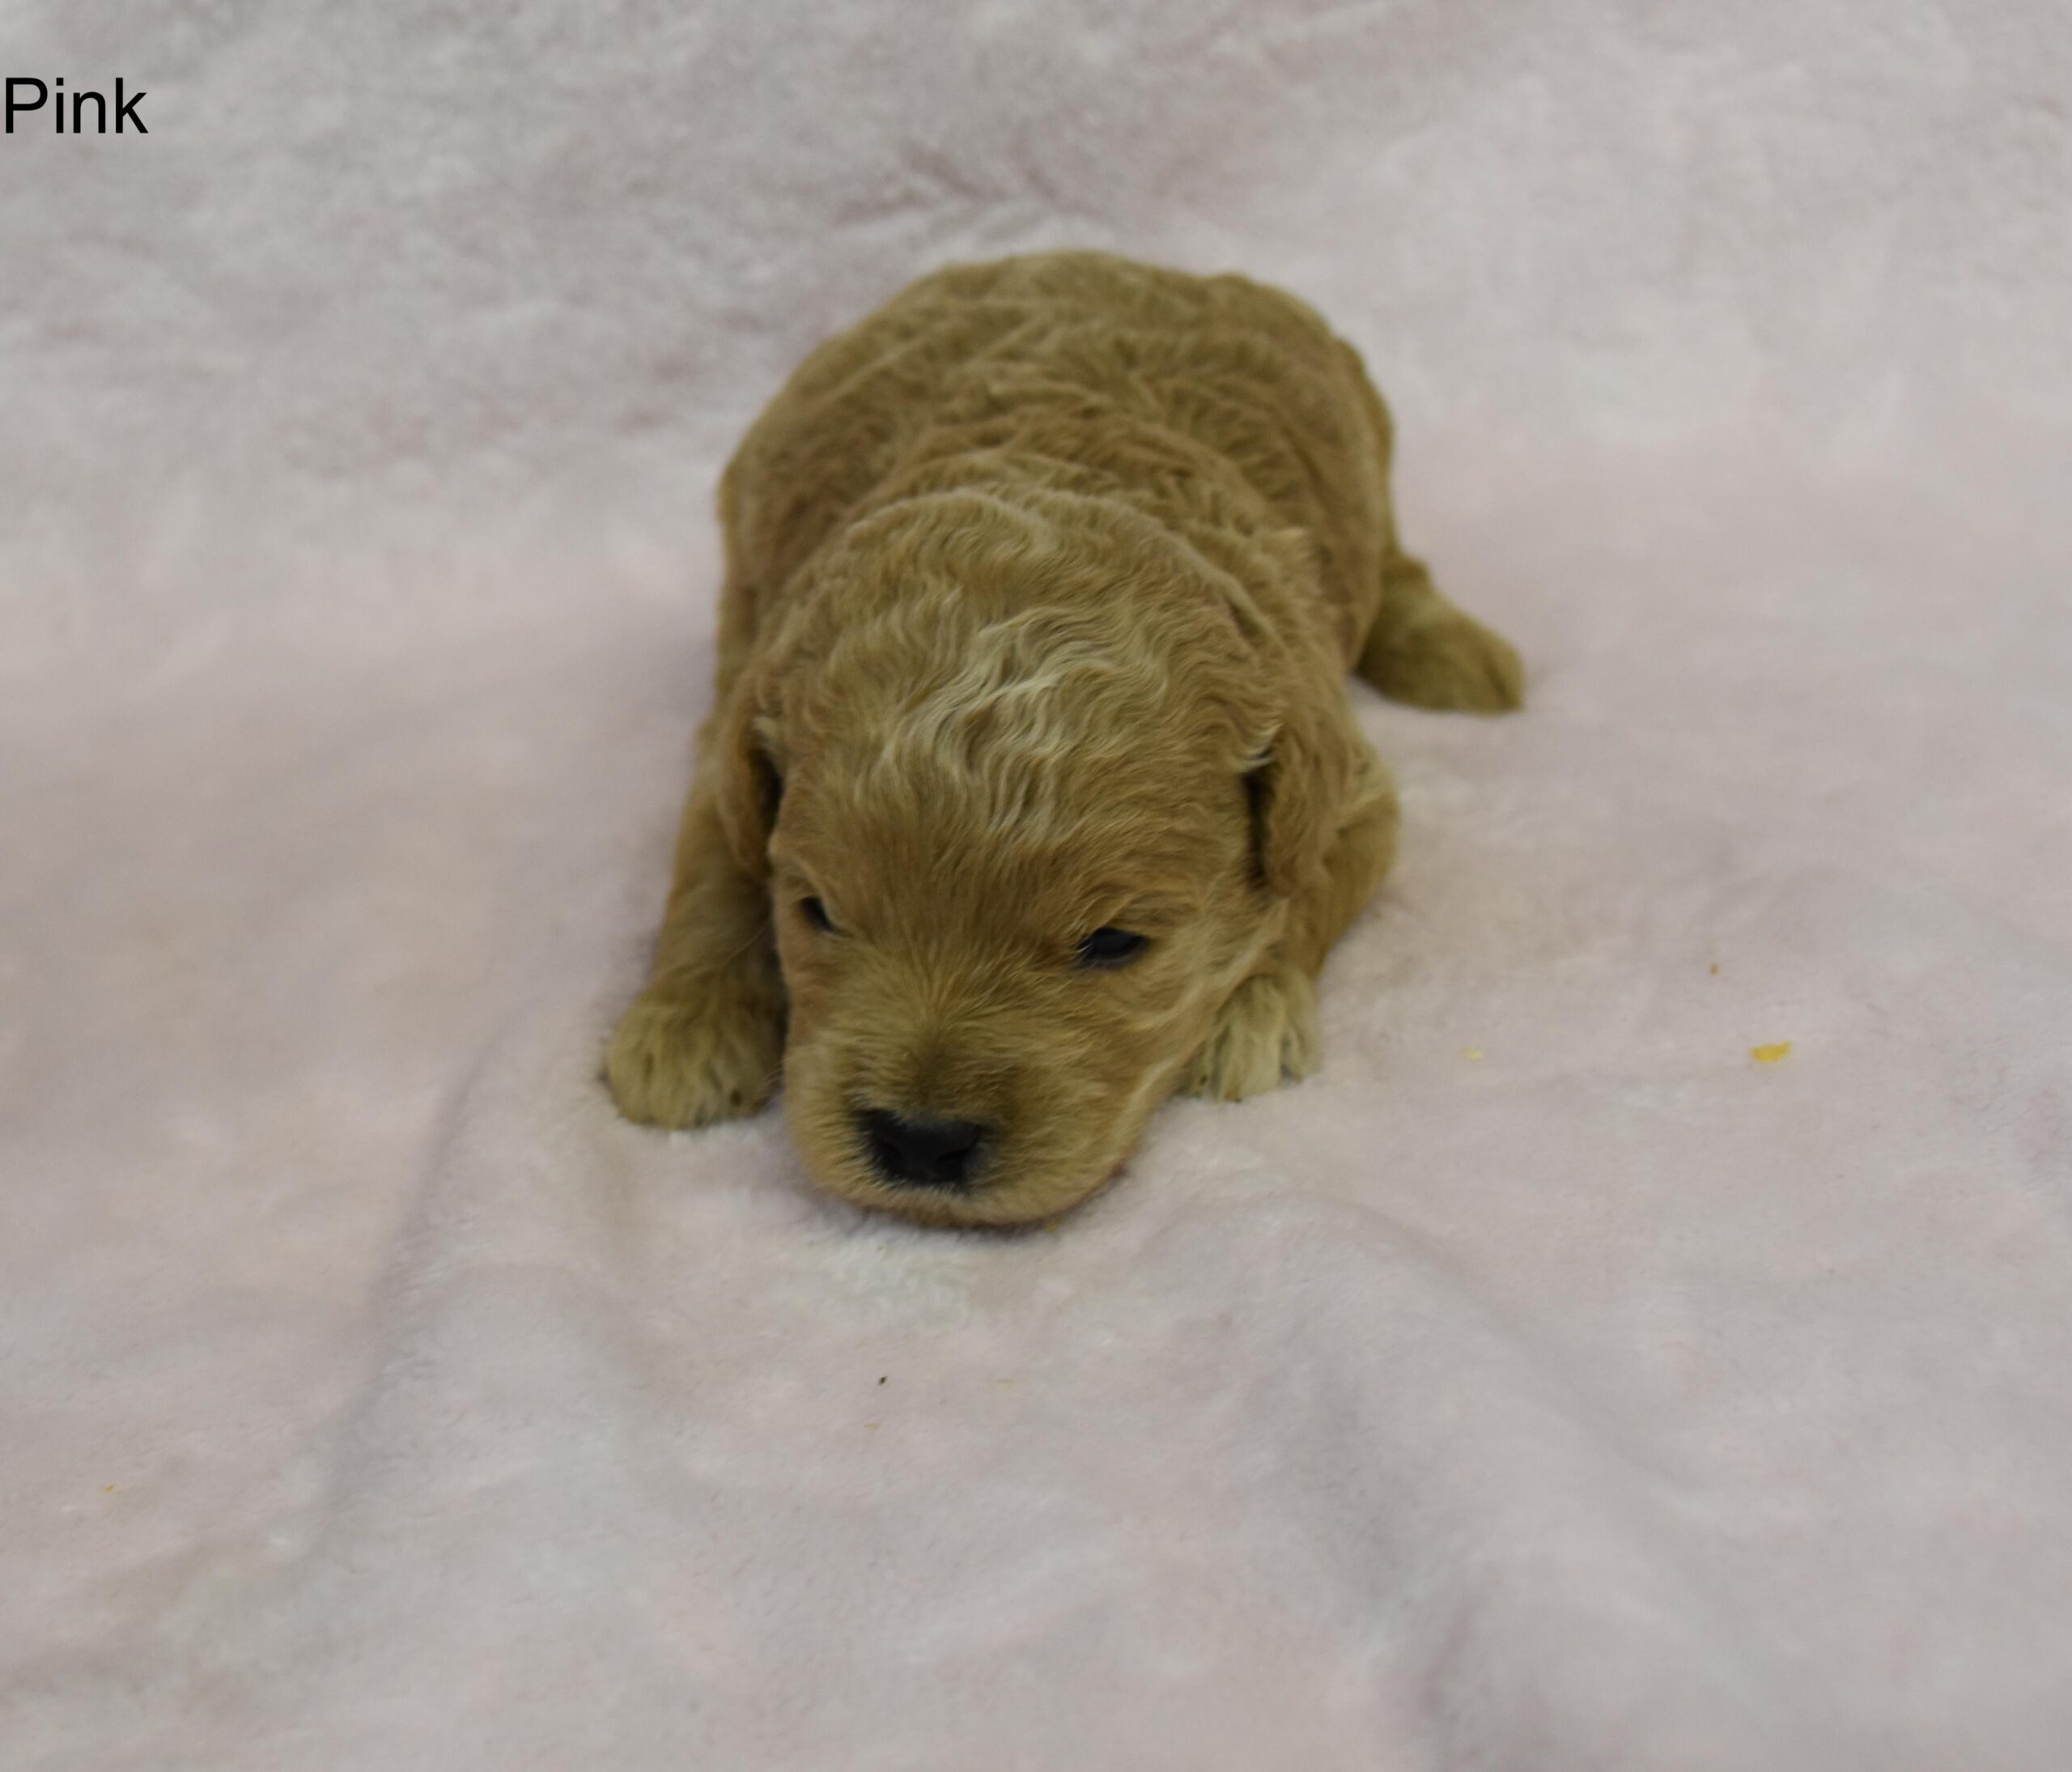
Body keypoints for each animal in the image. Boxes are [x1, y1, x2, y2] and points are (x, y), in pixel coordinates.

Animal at [605, 251, 1522, 1226]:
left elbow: (1307, 892)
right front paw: (683, 1023)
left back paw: (1459, 657)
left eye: (1115, 943)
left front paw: (1250, 1011)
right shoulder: (735, 736)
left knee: (1397, 565)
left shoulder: (1350, 782)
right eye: (818, 912)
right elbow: (710, 871)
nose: (921, 1140)